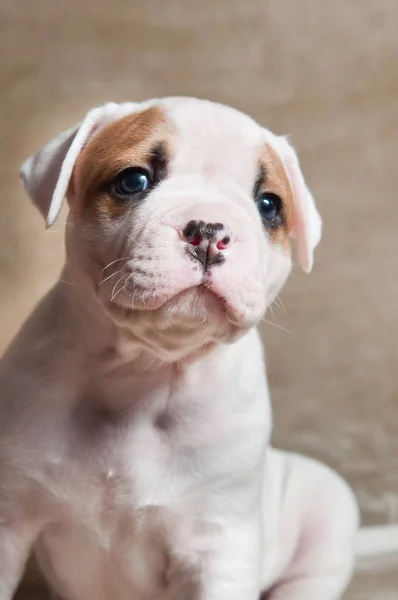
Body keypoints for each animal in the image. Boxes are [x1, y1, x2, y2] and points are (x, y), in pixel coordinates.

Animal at [0, 98, 396, 600]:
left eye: (269, 205)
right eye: (133, 180)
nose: (209, 229)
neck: (142, 371)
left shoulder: (217, 545)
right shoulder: (10, 519)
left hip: (328, 504)